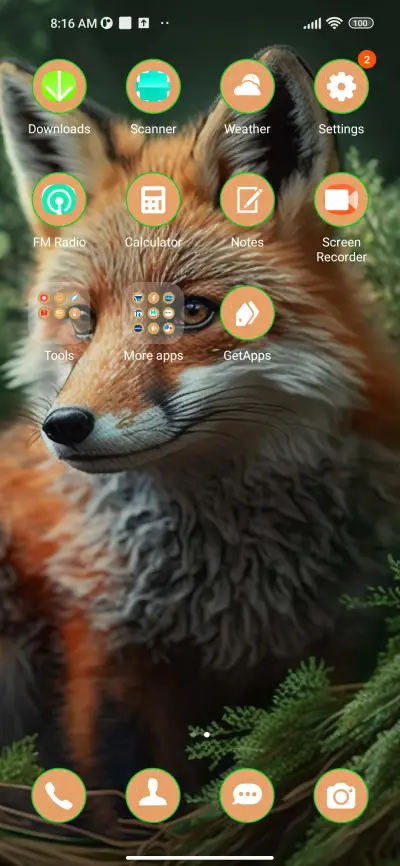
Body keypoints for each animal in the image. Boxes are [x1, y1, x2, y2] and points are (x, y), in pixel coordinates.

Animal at [0, 46, 400, 793]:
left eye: (191, 311)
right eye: (82, 319)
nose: (65, 426)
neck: (233, 589)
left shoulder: (341, 638)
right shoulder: (102, 646)